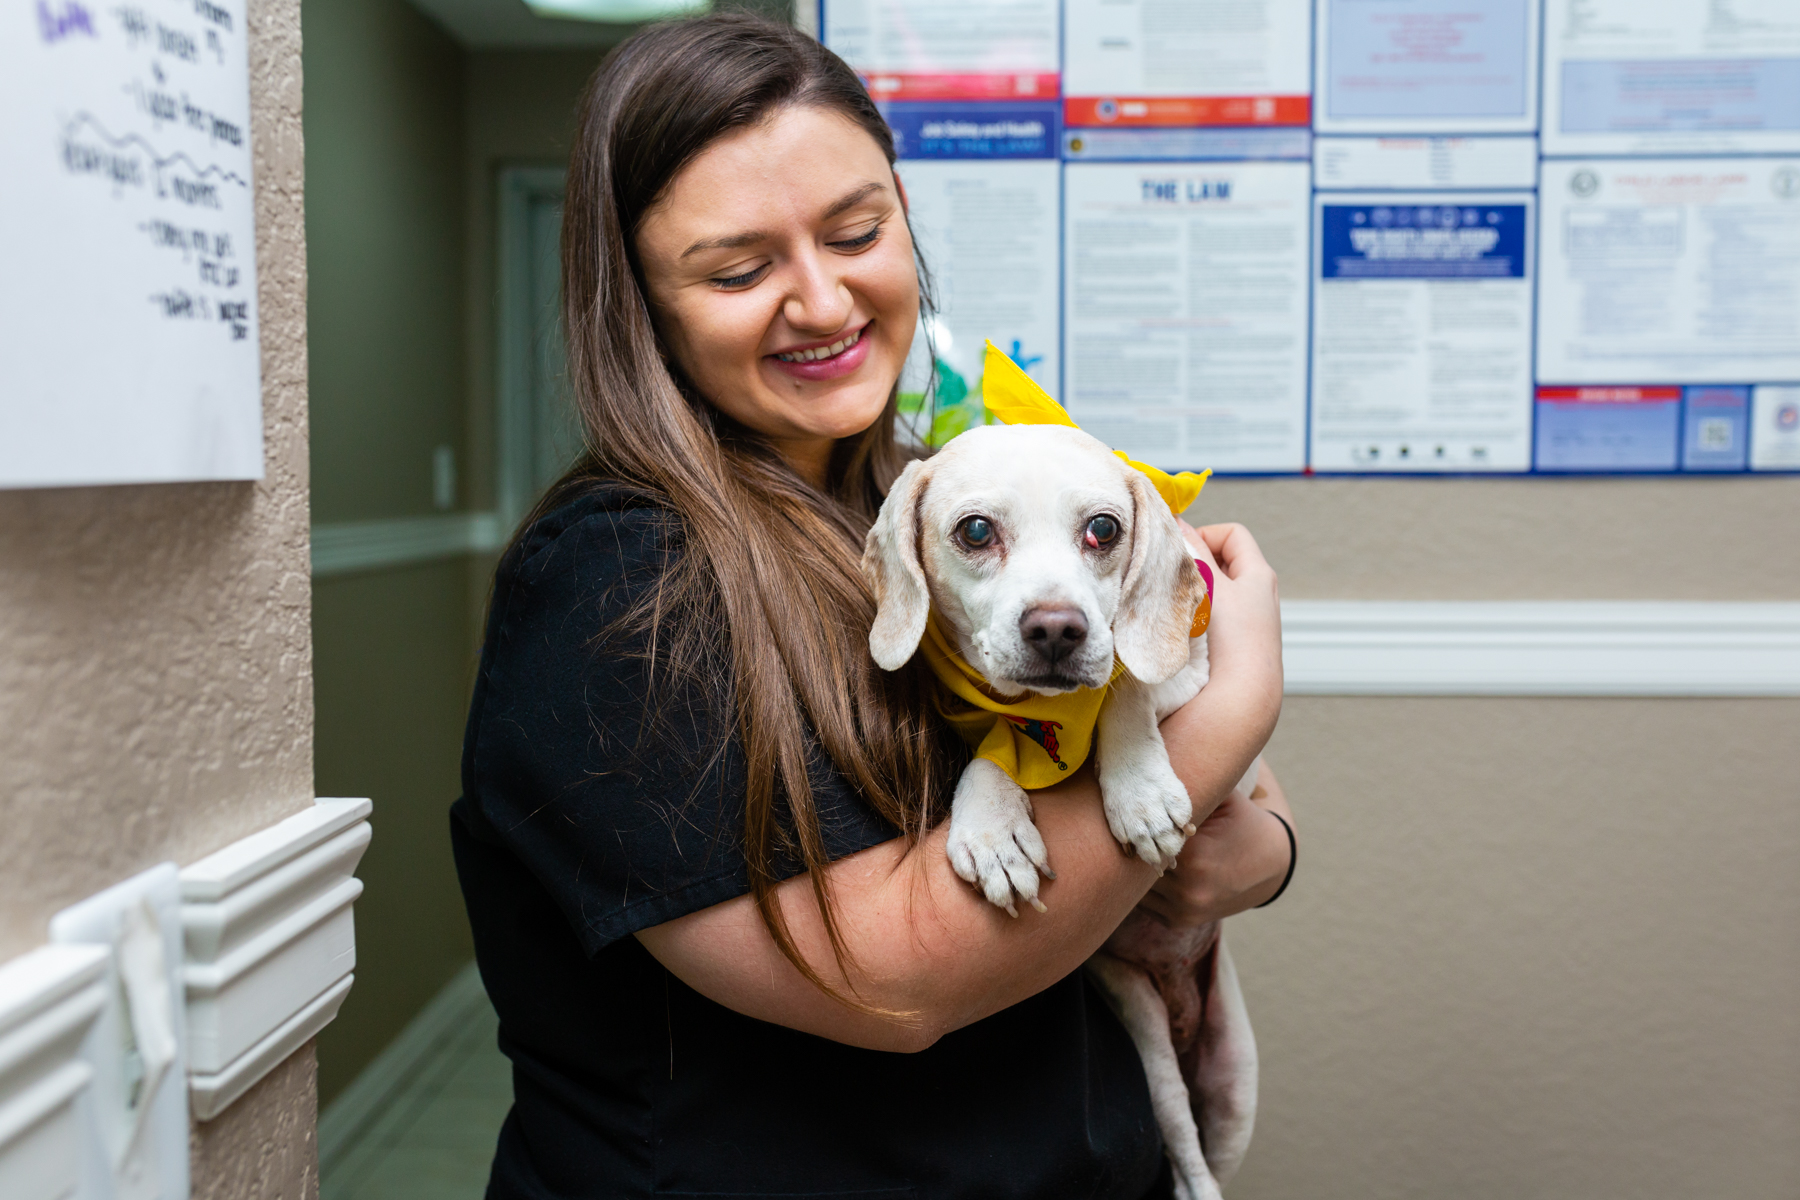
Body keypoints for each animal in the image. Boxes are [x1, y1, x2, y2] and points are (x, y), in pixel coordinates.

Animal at [864, 422, 1260, 1200]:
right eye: (976, 530)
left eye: (1103, 528)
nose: (1057, 629)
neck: (1045, 716)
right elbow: (996, 750)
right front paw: (993, 829)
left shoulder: (1197, 674)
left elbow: (1124, 683)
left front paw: (1139, 793)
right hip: (1141, 1024)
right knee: (1179, 1135)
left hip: (1236, 1090)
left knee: (1205, 1166)